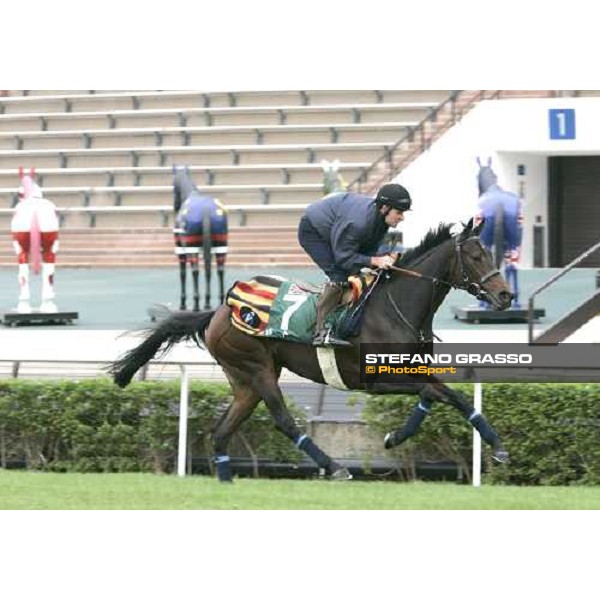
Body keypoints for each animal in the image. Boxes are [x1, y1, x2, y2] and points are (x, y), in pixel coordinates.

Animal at [111, 218, 510, 480]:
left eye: (491, 253)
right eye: (476, 257)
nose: (505, 295)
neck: (394, 306)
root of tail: (221, 310)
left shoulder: (411, 370)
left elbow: (441, 394)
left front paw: (396, 437)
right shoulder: (376, 379)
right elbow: (445, 393)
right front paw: (497, 444)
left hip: (245, 380)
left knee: (221, 431)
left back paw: (226, 482)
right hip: (256, 368)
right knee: (283, 421)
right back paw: (334, 467)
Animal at [175, 166, 231, 312]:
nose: (175, 205)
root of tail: (206, 210)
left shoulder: (179, 248)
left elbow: (183, 273)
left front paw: (183, 303)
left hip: (192, 245)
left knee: (195, 271)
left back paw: (196, 304)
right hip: (221, 243)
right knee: (219, 270)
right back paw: (215, 301)